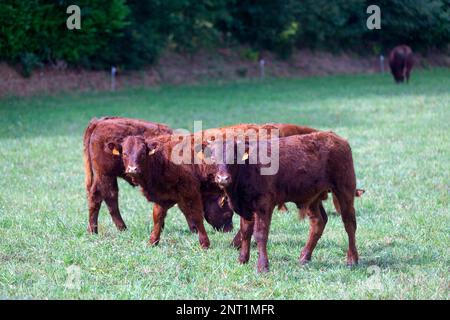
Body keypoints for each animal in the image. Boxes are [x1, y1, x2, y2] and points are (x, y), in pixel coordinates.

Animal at [209, 132, 360, 272]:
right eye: (213, 158)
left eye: (234, 157)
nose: (223, 178)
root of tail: (336, 138)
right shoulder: (245, 207)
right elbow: (246, 232)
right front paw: (242, 260)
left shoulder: (264, 205)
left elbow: (260, 234)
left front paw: (263, 266)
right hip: (313, 198)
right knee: (318, 222)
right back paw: (304, 257)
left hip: (344, 190)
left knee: (349, 223)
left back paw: (352, 259)